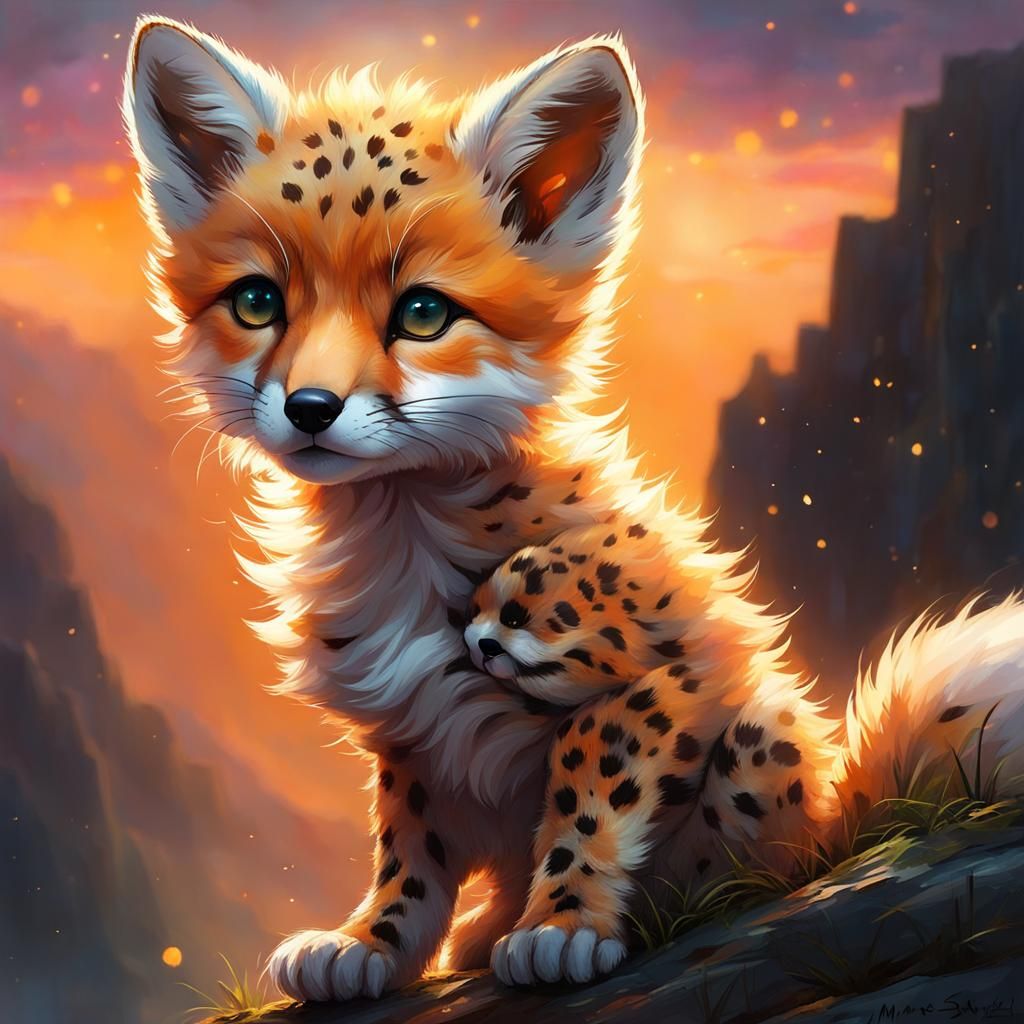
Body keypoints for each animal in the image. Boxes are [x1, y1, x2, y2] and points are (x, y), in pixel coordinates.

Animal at [122, 16, 1024, 1001]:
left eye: (423, 313)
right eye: (257, 301)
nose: (311, 408)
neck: (405, 544)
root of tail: (838, 812)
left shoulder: (665, 676)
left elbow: (587, 798)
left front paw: (561, 924)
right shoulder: (413, 735)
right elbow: (408, 855)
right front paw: (374, 944)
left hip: (766, 739)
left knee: (751, 871)